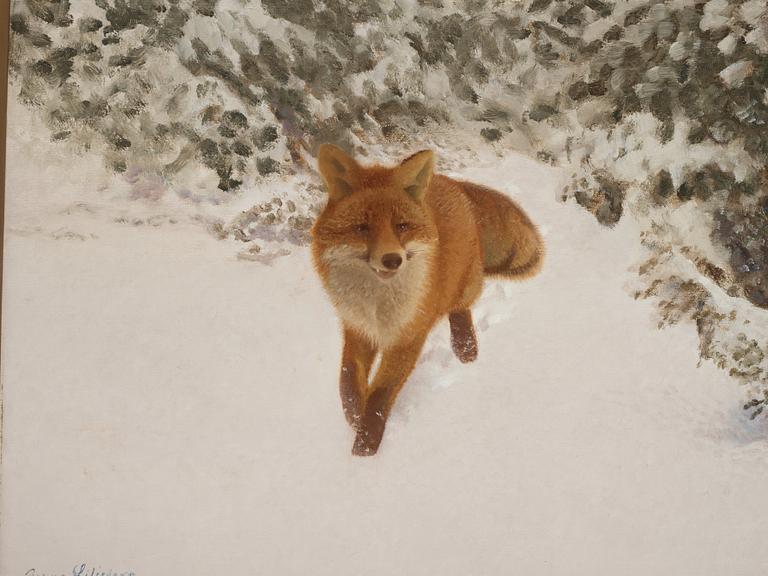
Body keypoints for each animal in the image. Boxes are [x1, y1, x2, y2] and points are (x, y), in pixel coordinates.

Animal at [308, 146, 544, 456]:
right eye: (362, 228)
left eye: (401, 226)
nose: (392, 259)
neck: (378, 306)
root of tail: (452, 182)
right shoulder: (357, 327)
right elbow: (347, 382)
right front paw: (355, 417)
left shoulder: (409, 335)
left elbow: (380, 396)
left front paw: (364, 449)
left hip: (465, 282)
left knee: (460, 307)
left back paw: (465, 347)